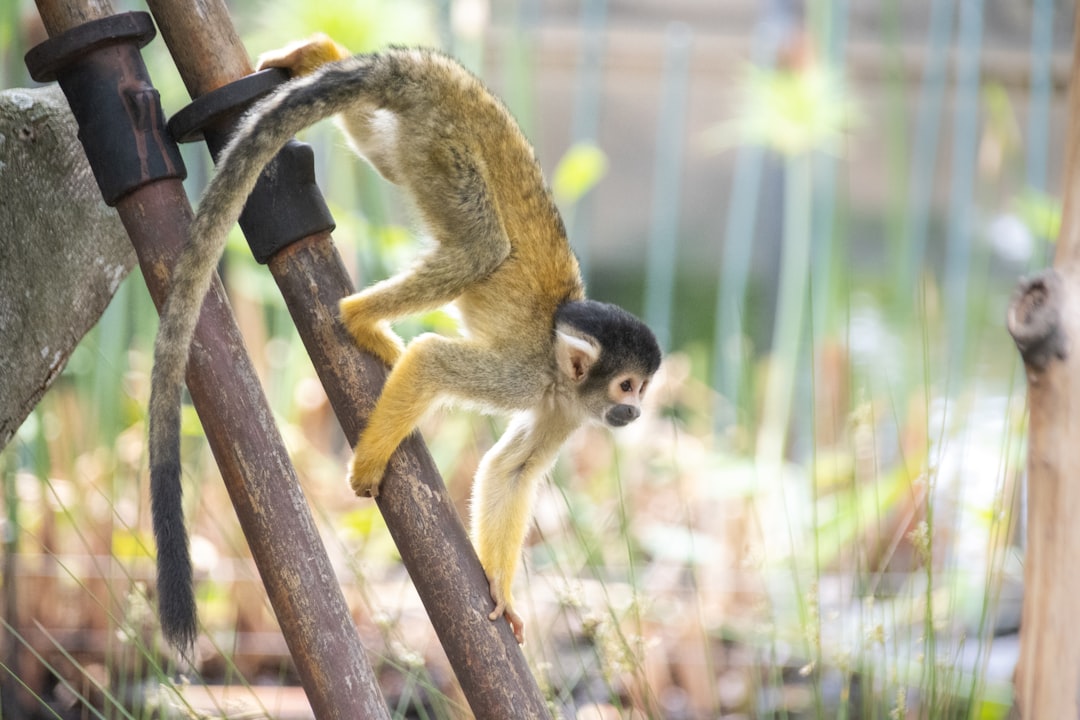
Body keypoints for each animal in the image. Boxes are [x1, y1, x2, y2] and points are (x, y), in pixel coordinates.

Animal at [149, 36, 660, 651]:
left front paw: (501, 591)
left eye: (643, 389)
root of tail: (438, 77)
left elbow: (510, 471)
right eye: (627, 386)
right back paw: (359, 317)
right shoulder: (528, 377)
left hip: (421, 137)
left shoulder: (566, 410)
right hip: (446, 148)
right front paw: (368, 463)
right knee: (480, 248)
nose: (635, 411)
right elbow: (433, 360)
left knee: (387, 155)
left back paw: (318, 53)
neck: (563, 378)